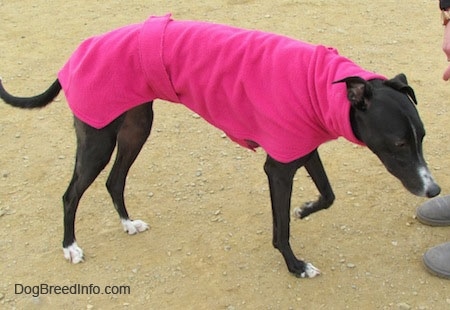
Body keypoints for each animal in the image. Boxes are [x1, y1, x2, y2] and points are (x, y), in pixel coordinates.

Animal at [0, 15, 442, 278]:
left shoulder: (299, 148)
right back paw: (70, 247)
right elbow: (281, 229)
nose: (434, 190)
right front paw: (295, 265)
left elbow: (328, 195)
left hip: (136, 127)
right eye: (399, 143)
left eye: (422, 137)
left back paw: (127, 223)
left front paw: (304, 209)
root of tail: (79, 50)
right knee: (71, 194)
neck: (319, 87)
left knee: (114, 181)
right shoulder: (278, 167)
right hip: (97, 137)